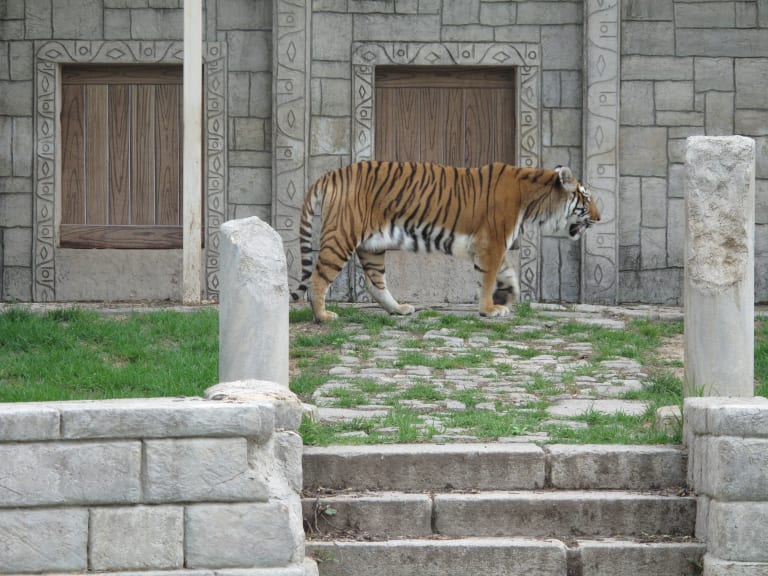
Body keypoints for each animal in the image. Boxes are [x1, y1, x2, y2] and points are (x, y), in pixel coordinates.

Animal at [291, 161, 600, 322]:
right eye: (586, 198)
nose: (599, 217)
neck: (536, 202)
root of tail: (331, 173)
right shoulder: (492, 242)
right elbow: (488, 278)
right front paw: (489, 309)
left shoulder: (492, 245)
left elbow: (506, 271)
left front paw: (508, 295)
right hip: (342, 237)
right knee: (318, 279)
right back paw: (323, 316)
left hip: (372, 246)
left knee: (375, 283)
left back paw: (398, 309)